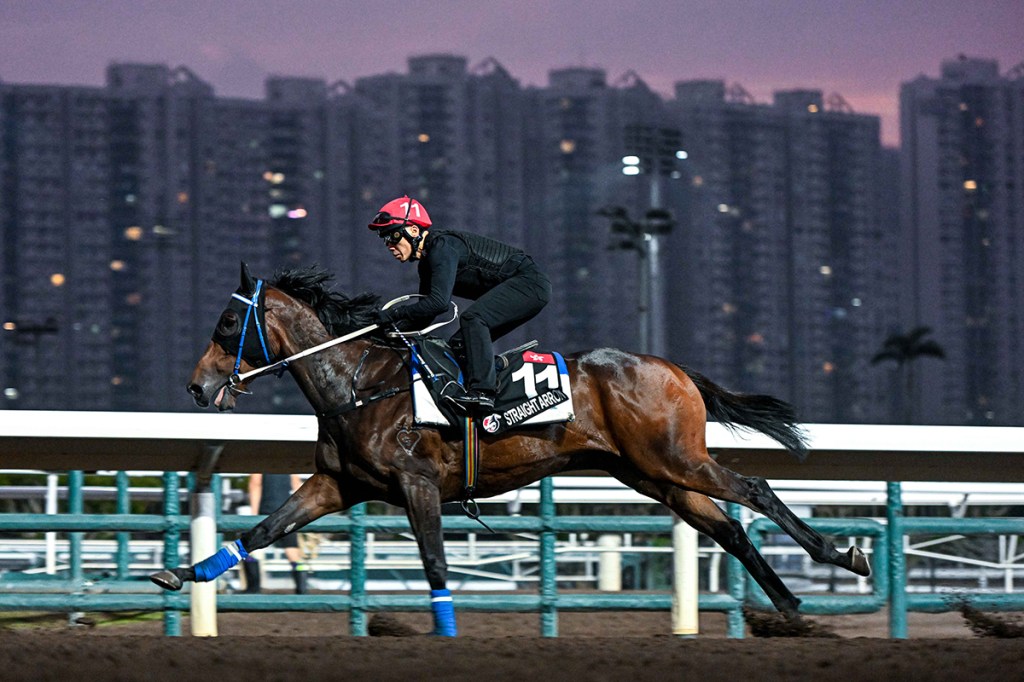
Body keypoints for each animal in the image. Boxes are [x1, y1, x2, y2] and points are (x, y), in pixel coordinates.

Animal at [150, 263, 870, 635]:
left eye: (226, 324)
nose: (196, 386)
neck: (358, 383)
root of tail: (676, 369)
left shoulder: (416, 484)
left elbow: (436, 562)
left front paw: (446, 633)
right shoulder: (337, 485)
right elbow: (261, 532)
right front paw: (179, 574)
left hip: (675, 459)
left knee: (756, 491)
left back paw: (843, 556)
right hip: (655, 475)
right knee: (729, 529)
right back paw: (788, 604)